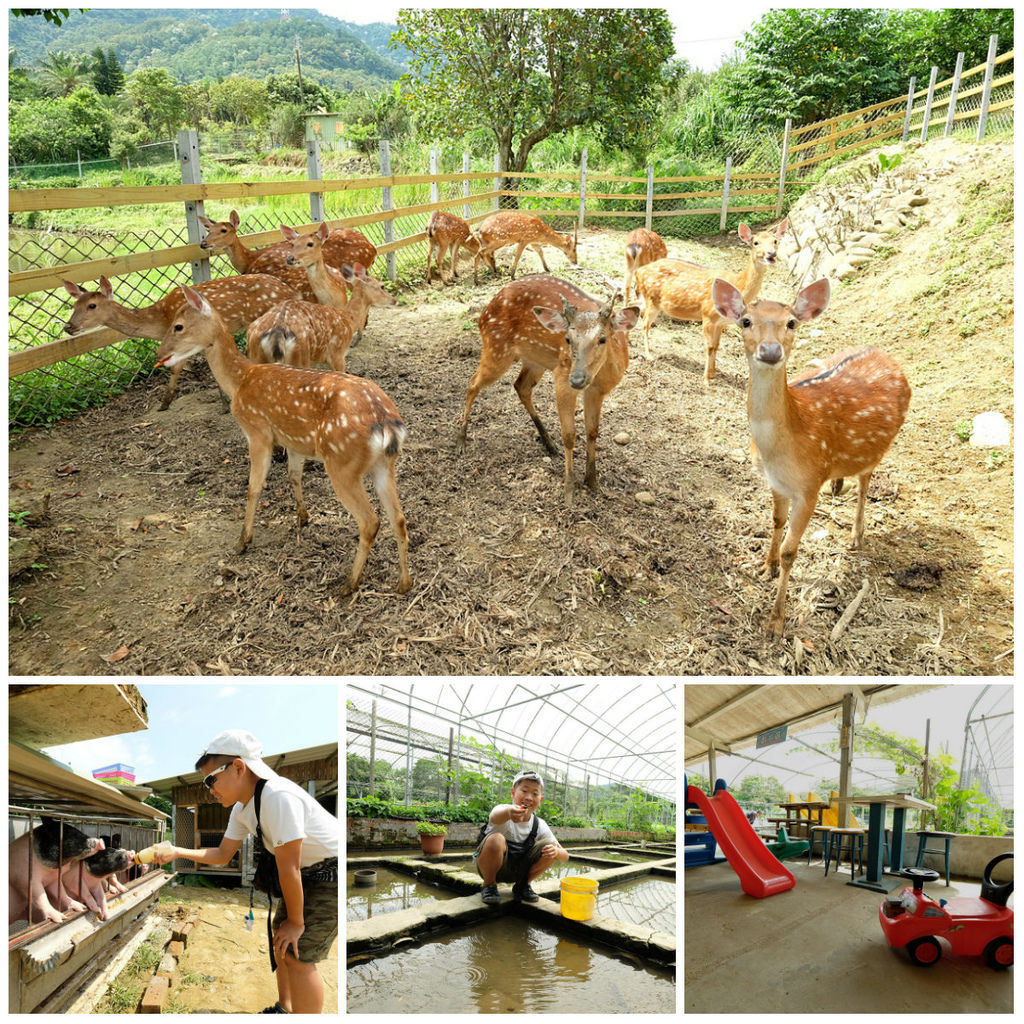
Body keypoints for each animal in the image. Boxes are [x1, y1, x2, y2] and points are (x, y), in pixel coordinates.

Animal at [63, 278, 299, 413]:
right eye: (74, 305)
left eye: (92, 305)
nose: (68, 326)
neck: (159, 320)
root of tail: (291, 291)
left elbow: (177, 368)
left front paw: (164, 403)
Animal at [153, 284, 409, 598]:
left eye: (178, 326)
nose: (160, 353)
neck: (241, 380)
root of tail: (387, 423)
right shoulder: (294, 441)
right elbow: (293, 474)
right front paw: (302, 518)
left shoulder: (258, 432)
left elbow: (253, 487)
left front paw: (243, 541)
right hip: (384, 464)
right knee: (399, 518)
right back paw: (403, 583)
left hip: (342, 463)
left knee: (370, 521)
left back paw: (349, 584)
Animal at [458, 276, 634, 503]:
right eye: (567, 339)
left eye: (602, 338)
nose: (577, 379)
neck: (599, 376)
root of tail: (484, 314)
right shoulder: (561, 376)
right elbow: (569, 434)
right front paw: (569, 489)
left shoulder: (597, 391)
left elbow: (593, 431)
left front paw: (593, 482)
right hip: (496, 349)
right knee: (473, 383)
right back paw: (461, 440)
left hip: (536, 360)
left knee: (520, 386)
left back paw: (549, 443)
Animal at [630, 220, 790, 376]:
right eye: (755, 242)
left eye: (775, 241)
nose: (771, 254)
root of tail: (640, 271)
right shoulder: (707, 315)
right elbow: (709, 347)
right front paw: (706, 378)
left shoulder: (721, 322)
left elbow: (716, 346)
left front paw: (713, 373)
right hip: (652, 299)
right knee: (645, 324)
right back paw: (648, 355)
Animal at [712, 276, 913, 634]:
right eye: (746, 321)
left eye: (791, 322)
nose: (770, 351)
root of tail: (884, 352)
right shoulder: (776, 482)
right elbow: (775, 521)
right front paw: (765, 567)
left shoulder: (809, 485)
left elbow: (792, 552)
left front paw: (776, 621)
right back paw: (838, 486)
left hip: (880, 446)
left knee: (866, 482)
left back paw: (856, 535)